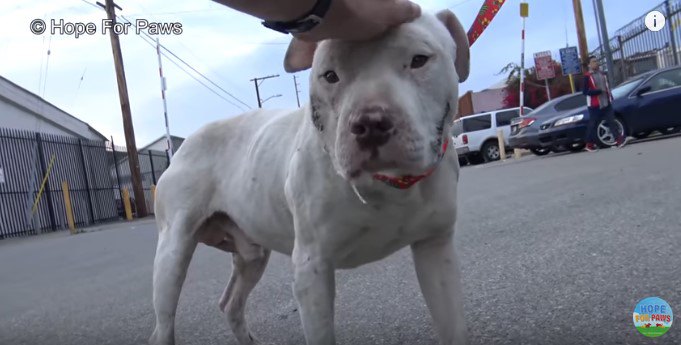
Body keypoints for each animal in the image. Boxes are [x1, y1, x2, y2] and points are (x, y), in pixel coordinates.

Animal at [149, 8, 468, 344]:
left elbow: (454, 327)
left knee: (230, 303)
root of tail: (184, 144)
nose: (370, 124)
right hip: (172, 254)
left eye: (419, 59)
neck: (388, 184)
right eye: (329, 75)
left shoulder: (436, 250)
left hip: (251, 253)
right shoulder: (311, 269)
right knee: (164, 324)